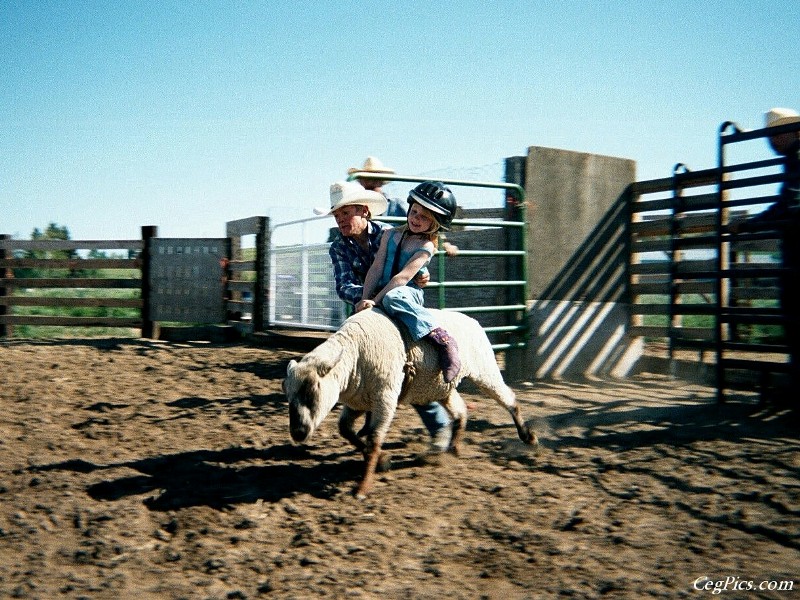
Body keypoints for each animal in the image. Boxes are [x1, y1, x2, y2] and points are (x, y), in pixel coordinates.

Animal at [282, 308, 536, 500]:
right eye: (288, 394)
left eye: (312, 390)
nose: (298, 433)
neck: (354, 354)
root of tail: (474, 322)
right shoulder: (357, 403)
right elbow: (346, 430)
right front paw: (383, 460)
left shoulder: (385, 399)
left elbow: (373, 441)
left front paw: (363, 488)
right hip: (442, 387)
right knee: (461, 411)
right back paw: (453, 448)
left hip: (485, 371)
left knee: (509, 399)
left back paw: (528, 436)